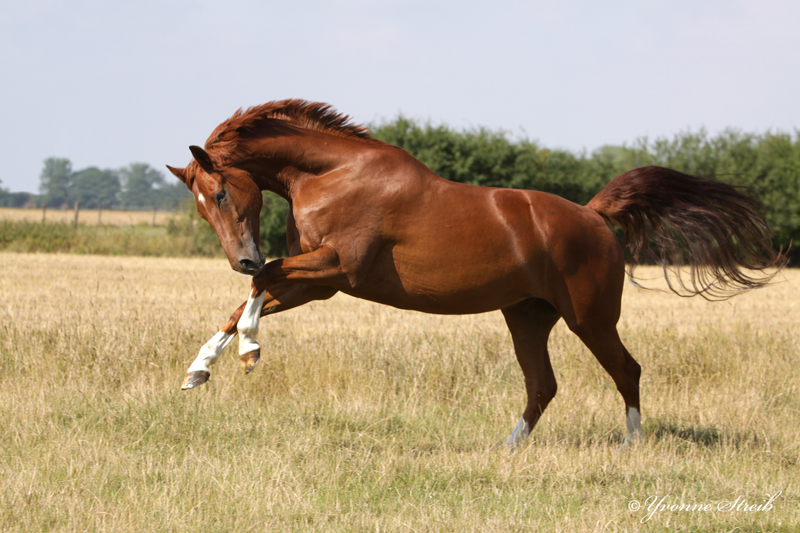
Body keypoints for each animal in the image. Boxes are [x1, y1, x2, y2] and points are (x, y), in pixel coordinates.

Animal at [166, 97, 784, 446]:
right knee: (543, 385)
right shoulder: (320, 285)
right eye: (200, 205)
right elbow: (249, 295)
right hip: (528, 318)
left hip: (590, 318)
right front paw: (198, 370)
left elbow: (262, 281)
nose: (239, 256)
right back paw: (507, 448)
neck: (332, 172)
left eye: (221, 193)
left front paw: (249, 352)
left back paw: (632, 445)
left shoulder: (338, 269)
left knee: (626, 370)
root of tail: (592, 214)